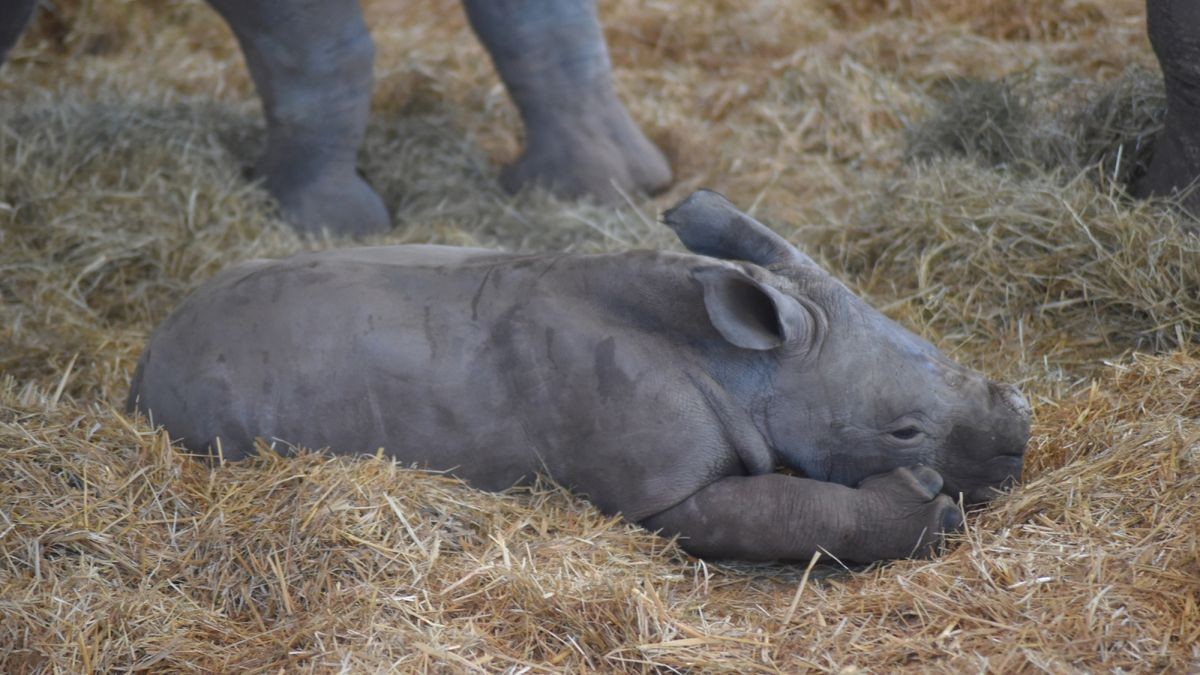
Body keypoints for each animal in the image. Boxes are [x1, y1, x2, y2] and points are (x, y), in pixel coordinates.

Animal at [129, 190, 1032, 562]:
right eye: (904, 430)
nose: (1022, 443)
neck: (744, 364)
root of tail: (144, 354)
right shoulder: (663, 489)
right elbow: (796, 510)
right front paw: (928, 511)